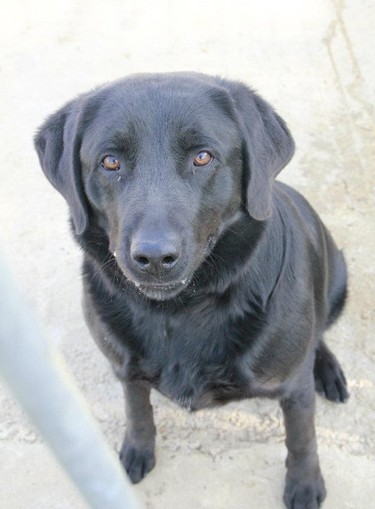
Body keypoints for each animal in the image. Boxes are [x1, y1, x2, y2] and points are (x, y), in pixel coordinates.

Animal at [35, 74, 350, 508]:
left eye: (202, 157)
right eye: (110, 162)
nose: (153, 256)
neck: (179, 311)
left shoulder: (294, 388)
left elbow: (301, 438)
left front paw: (304, 484)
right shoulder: (125, 369)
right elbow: (137, 410)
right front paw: (137, 450)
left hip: (338, 281)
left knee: (320, 333)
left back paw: (329, 371)